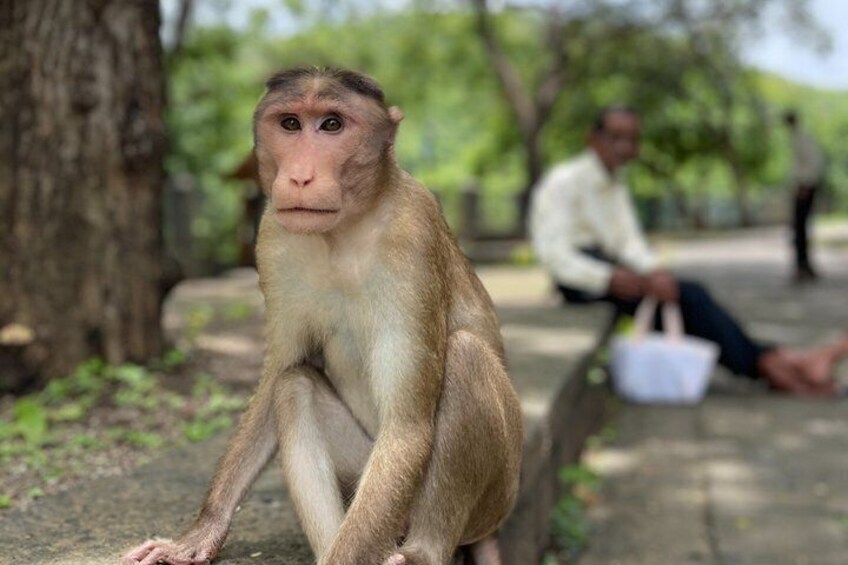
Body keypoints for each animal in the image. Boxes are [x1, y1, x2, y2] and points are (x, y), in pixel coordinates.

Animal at [122, 67, 523, 565]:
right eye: (291, 124)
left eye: (332, 125)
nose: (299, 176)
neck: (344, 230)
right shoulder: (273, 238)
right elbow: (279, 373)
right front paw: (199, 533)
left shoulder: (415, 234)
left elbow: (407, 428)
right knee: (294, 388)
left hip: (496, 494)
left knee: (466, 357)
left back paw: (422, 551)